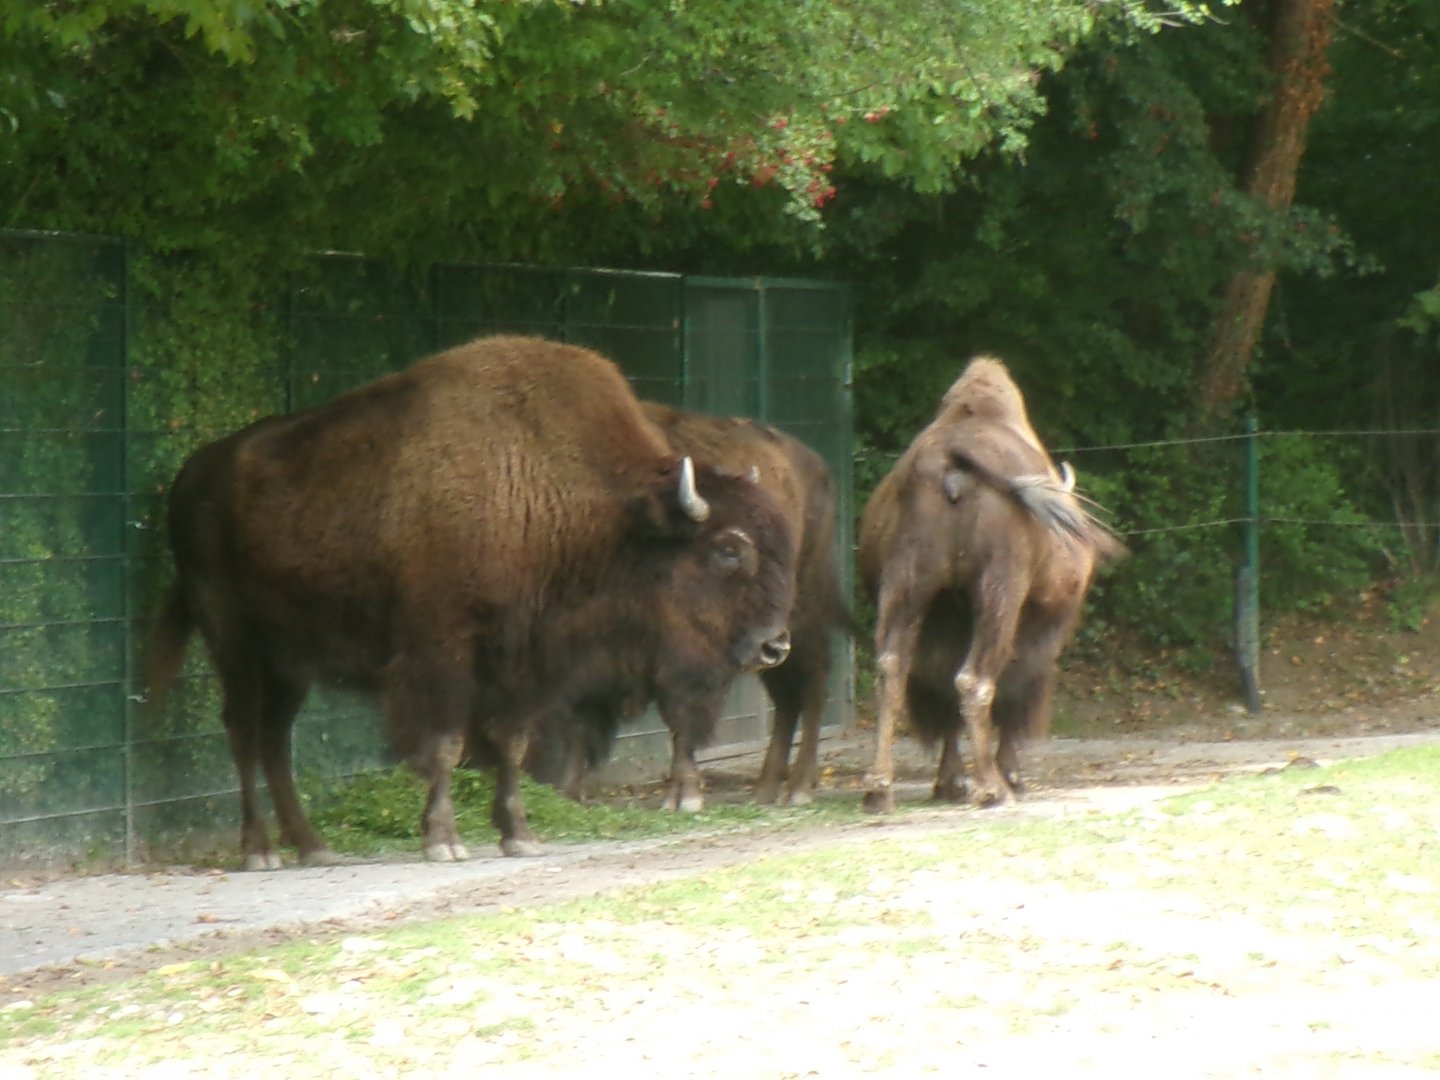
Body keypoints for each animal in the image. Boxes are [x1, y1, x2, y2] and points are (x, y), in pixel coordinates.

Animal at [146, 335, 798, 867]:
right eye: (729, 549)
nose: (775, 645)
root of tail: (193, 472)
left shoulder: (520, 662)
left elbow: (509, 742)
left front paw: (519, 835)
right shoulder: (442, 653)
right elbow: (444, 744)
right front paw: (443, 841)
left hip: (289, 661)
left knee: (274, 738)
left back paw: (313, 847)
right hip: (233, 640)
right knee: (243, 732)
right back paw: (259, 851)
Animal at [525, 403, 851, 810]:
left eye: (732, 549)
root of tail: (815, 464)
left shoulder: (686, 658)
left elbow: (681, 717)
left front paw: (684, 796)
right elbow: (580, 716)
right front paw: (569, 795)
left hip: (797, 622)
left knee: (813, 684)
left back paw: (798, 788)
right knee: (786, 696)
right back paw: (764, 789)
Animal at [858, 356, 1123, 812]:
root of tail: (949, 461)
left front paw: (949, 783)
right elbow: (1013, 690)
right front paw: (1010, 777)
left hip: (907, 585)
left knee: (893, 670)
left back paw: (879, 789)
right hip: (998, 591)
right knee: (975, 679)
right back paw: (992, 789)